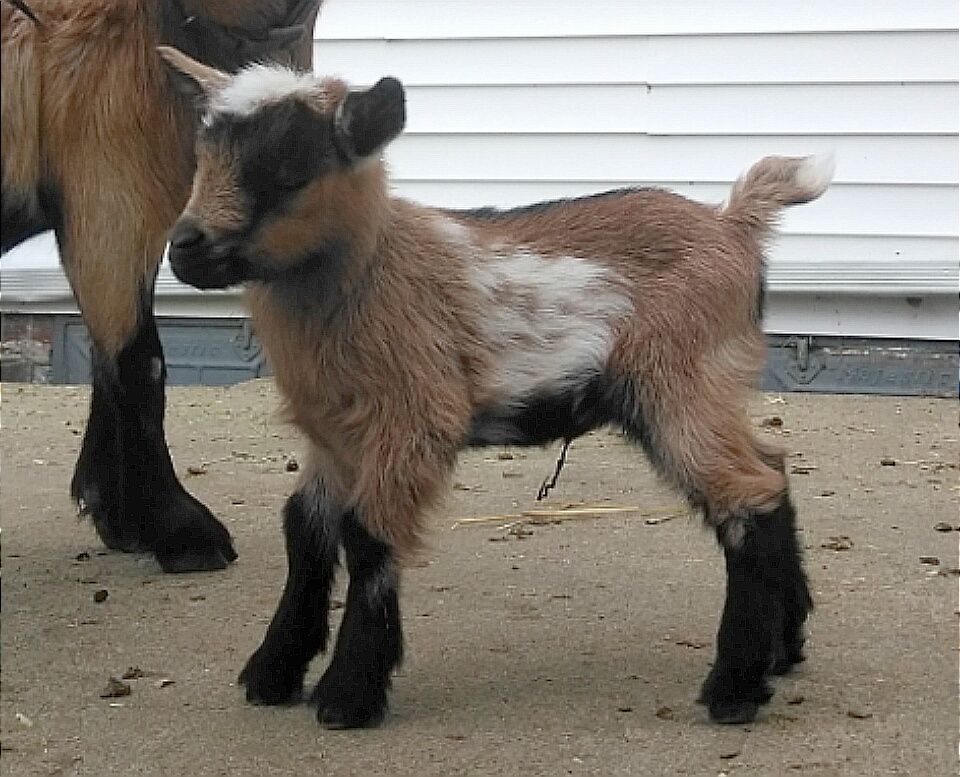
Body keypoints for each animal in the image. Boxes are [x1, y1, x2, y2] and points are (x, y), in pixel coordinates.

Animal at [161, 48, 830, 728]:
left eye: (292, 165)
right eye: (202, 152)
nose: (185, 249)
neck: (371, 271)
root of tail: (734, 224)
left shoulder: (413, 419)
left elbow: (367, 536)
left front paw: (348, 694)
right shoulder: (334, 437)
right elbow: (306, 530)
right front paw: (273, 672)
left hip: (681, 385)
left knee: (748, 497)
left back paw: (734, 690)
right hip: (711, 387)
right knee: (773, 472)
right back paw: (784, 648)